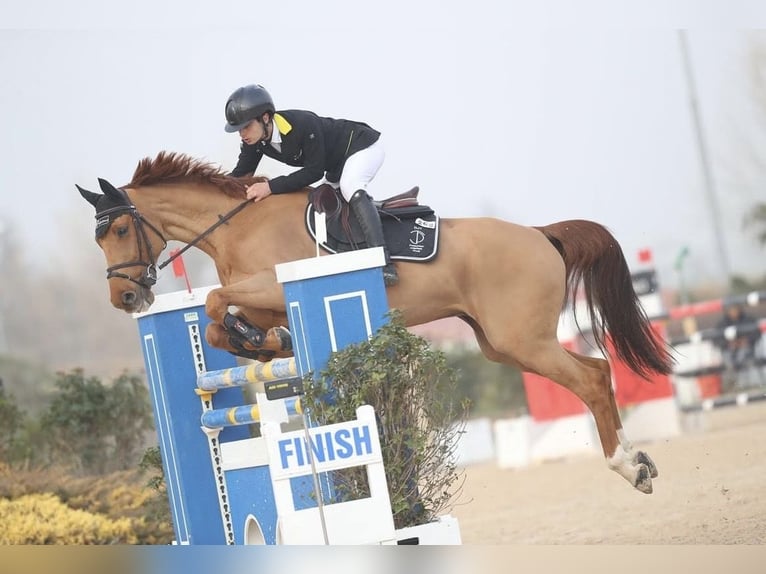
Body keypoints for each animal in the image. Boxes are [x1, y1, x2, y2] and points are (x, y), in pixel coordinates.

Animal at [77, 151, 673, 494]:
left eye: (121, 231)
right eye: (99, 238)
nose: (124, 297)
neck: (234, 226)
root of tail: (540, 233)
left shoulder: (272, 283)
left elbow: (216, 303)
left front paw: (267, 341)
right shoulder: (262, 299)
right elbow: (221, 321)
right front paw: (267, 343)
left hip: (522, 339)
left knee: (592, 378)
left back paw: (629, 467)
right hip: (501, 343)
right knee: (594, 372)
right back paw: (637, 461)